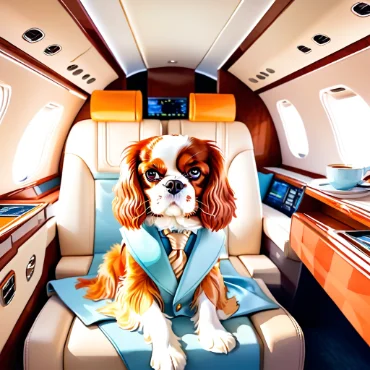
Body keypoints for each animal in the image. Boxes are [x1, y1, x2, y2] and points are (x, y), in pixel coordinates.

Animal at [76, 135, 237, 370]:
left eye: (195, 172)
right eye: (151, 174)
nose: (174, 183)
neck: (176, 229)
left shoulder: (209, 273)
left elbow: (208, 301)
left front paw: (215, 334)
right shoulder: (138, 283)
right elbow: (155, 316)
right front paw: (168, 352)